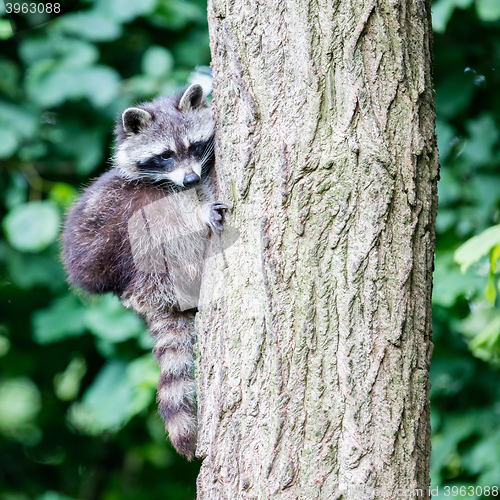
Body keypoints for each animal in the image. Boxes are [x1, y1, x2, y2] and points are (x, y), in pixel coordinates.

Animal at [62, 84, 229, 458]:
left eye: (194, 147)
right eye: (164, 156)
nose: (191, 178)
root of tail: (148, 296)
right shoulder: (123, 200)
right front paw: (199, 209)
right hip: (143, 258)